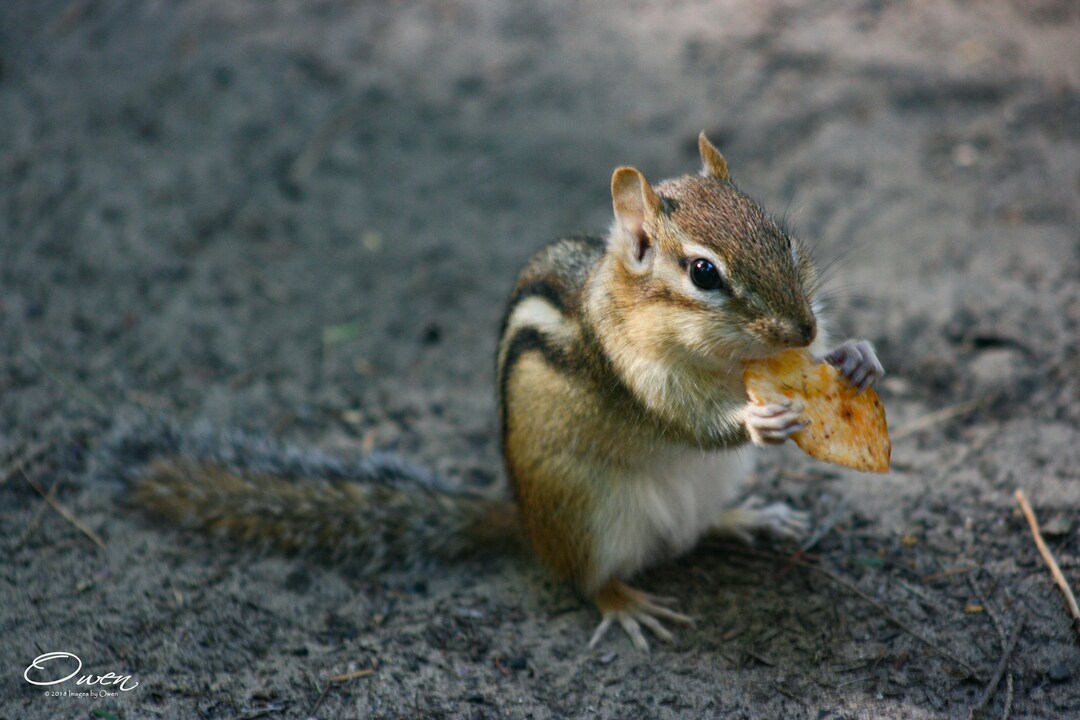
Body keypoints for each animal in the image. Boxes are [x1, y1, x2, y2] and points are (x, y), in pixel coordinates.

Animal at [132, 132, 884, 652]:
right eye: (703, 273)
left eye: (783, 236)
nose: (802, 326)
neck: (727, 360)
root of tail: (523, 519)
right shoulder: (633, 370)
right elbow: (685, 419)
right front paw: (757, 421)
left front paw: (853, 357)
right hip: (590, 515)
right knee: (589, 578)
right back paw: (628, 603)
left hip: (701, 490)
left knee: (693, 533)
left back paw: (749, 518)